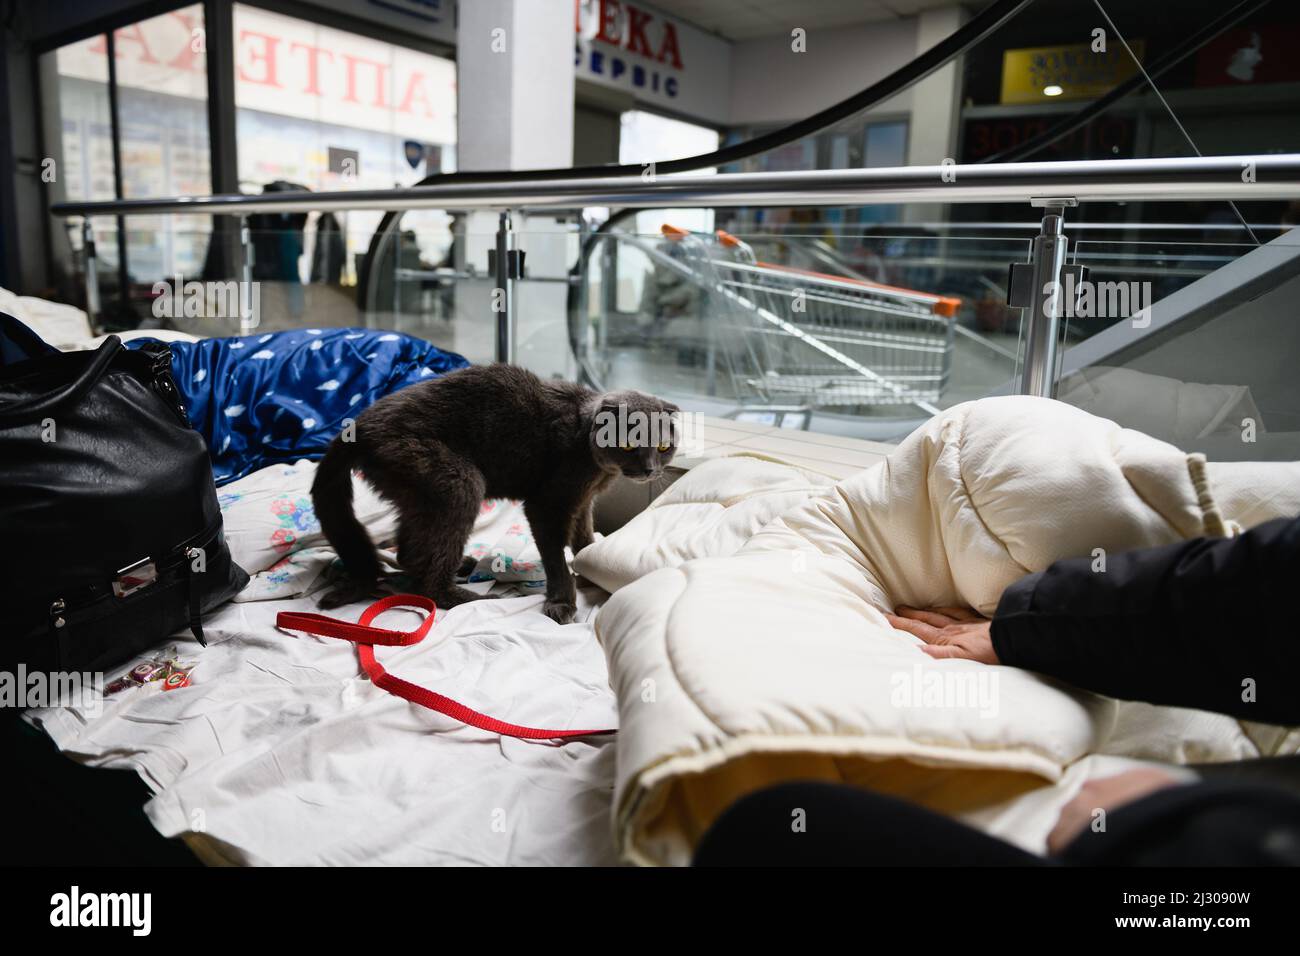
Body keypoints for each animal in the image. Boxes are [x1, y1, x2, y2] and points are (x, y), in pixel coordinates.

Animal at [312, 361, 681, 624]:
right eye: (629, 444)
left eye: (664, 446)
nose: (650, 469)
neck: (600, 467)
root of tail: (356, 429)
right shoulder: (549, 504)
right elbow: (555, 556)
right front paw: (561, 601)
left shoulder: (582, 501)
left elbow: (583, 537)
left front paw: (590, 562)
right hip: (455, 480)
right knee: (431, 583)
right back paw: (478, 599)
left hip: (417, 491)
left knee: (409, 551)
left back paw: (460, 565)